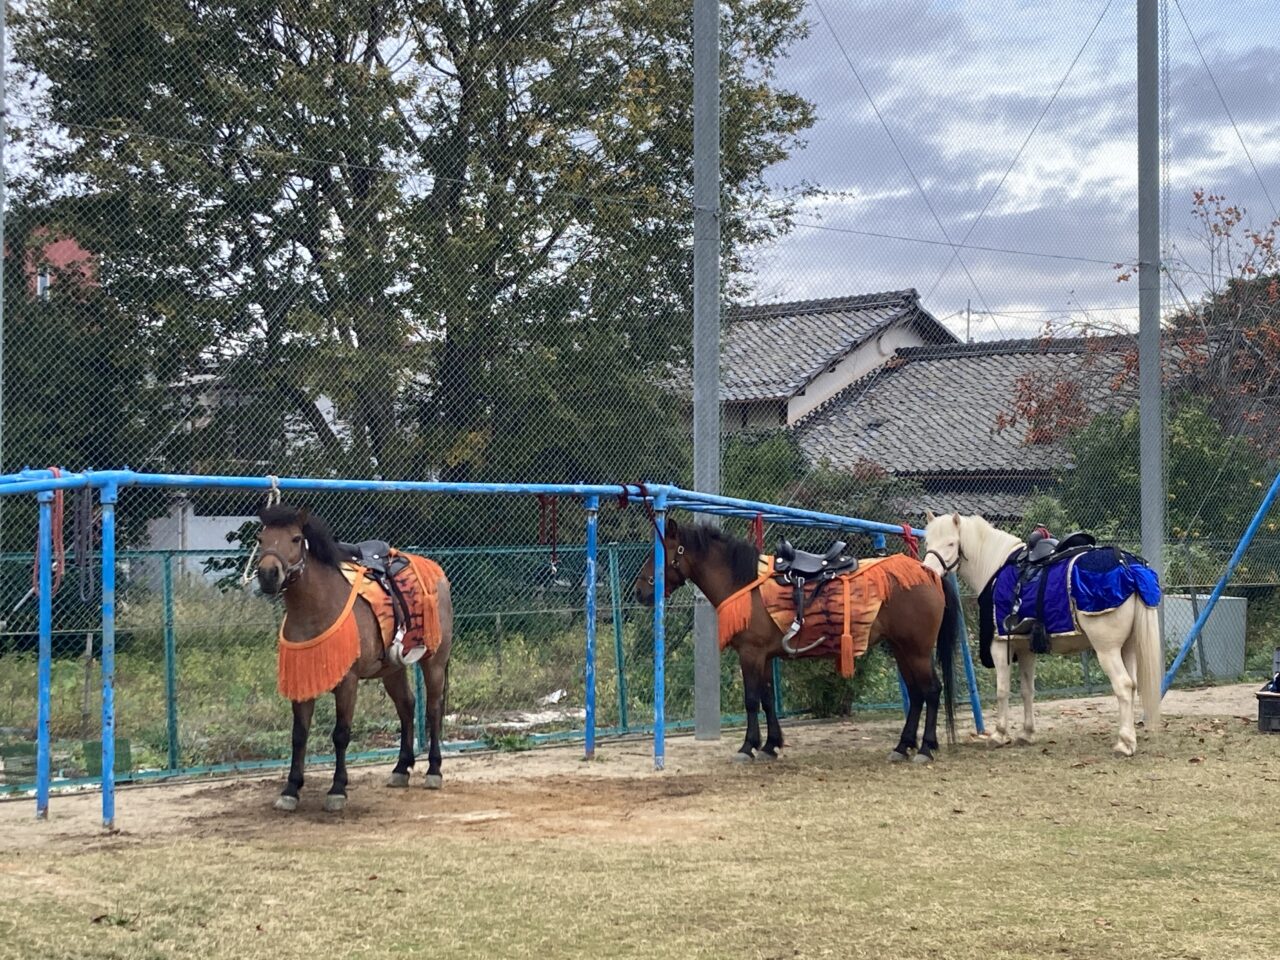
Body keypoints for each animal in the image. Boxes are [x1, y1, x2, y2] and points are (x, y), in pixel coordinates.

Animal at [256, 504, 455, 814]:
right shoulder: (303, 679)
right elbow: (299, 735)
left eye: (296, 538)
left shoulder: (347, 681)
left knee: (432, 709)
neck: (318, 605)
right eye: (260, 538)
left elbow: (341, 733)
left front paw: (337, 789)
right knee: (406, 706)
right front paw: (290, 790)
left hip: (434, 660)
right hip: (392, 669)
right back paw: (401, 768)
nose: (267, 574)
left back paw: (434, 771)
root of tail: (438, 574)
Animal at [634, 519, 957, 768]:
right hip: (902, 649)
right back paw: (903, 746)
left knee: (930, 691)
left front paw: (747, 748)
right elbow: (767, 699)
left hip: (916, 649)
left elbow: (751, 700)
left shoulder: (750, 653)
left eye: (659, 553)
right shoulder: (763, 656)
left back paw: (926, 748)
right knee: (917, 693)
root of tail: (929, 573)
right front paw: (769, 745)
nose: (639, 591)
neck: (743, 584)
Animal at [921, 514, 1162, 757]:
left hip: (1107, 650)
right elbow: (1027, 690)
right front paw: (1027, 733)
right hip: (1128, 647)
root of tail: (1128, 566)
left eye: (951, 543)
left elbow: (1002, 690)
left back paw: (1124, 743)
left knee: (1123, 686)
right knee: (1132, 685)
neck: (995, 567)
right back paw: (1130, 738)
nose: (929, 571)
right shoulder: (1026, 649)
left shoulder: (1000, 646)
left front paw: (999, 734)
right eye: (927, 542)